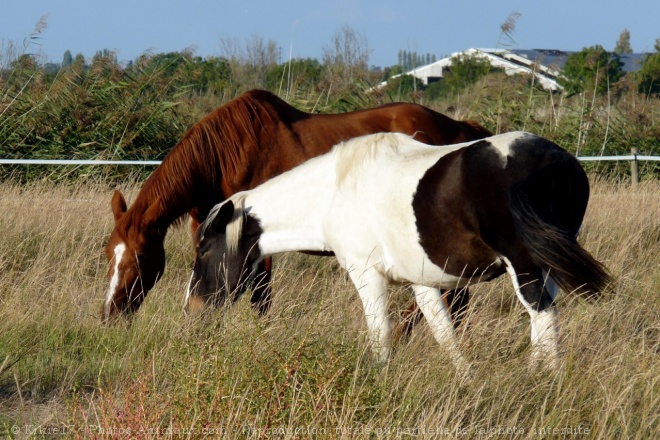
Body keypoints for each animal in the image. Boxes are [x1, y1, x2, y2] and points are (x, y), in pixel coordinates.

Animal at [103, 88, 492, 324]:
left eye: (140, 257)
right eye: (109, 254)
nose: (110, 313)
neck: (222, 158)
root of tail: (463, 129)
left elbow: (260, 299)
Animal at [186, 131, 608, 368]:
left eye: (204, 249)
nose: (191, 308)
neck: (334, 192)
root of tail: (557, 161)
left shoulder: (367, 276)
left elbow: (381, 334)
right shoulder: (421, 282)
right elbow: (445, 335)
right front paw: (468, 381)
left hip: (526, 269)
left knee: (543, 320)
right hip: (548, 267)